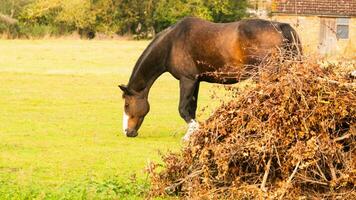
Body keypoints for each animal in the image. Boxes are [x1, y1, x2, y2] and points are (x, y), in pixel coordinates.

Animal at [119, 16, 300, 139]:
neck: (171, 43)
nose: (128, 132)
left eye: (127, 105)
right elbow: (191, 108)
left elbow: (183, 109)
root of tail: (281, 27)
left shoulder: (187, 80)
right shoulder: (196, 81)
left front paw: (192, 133)